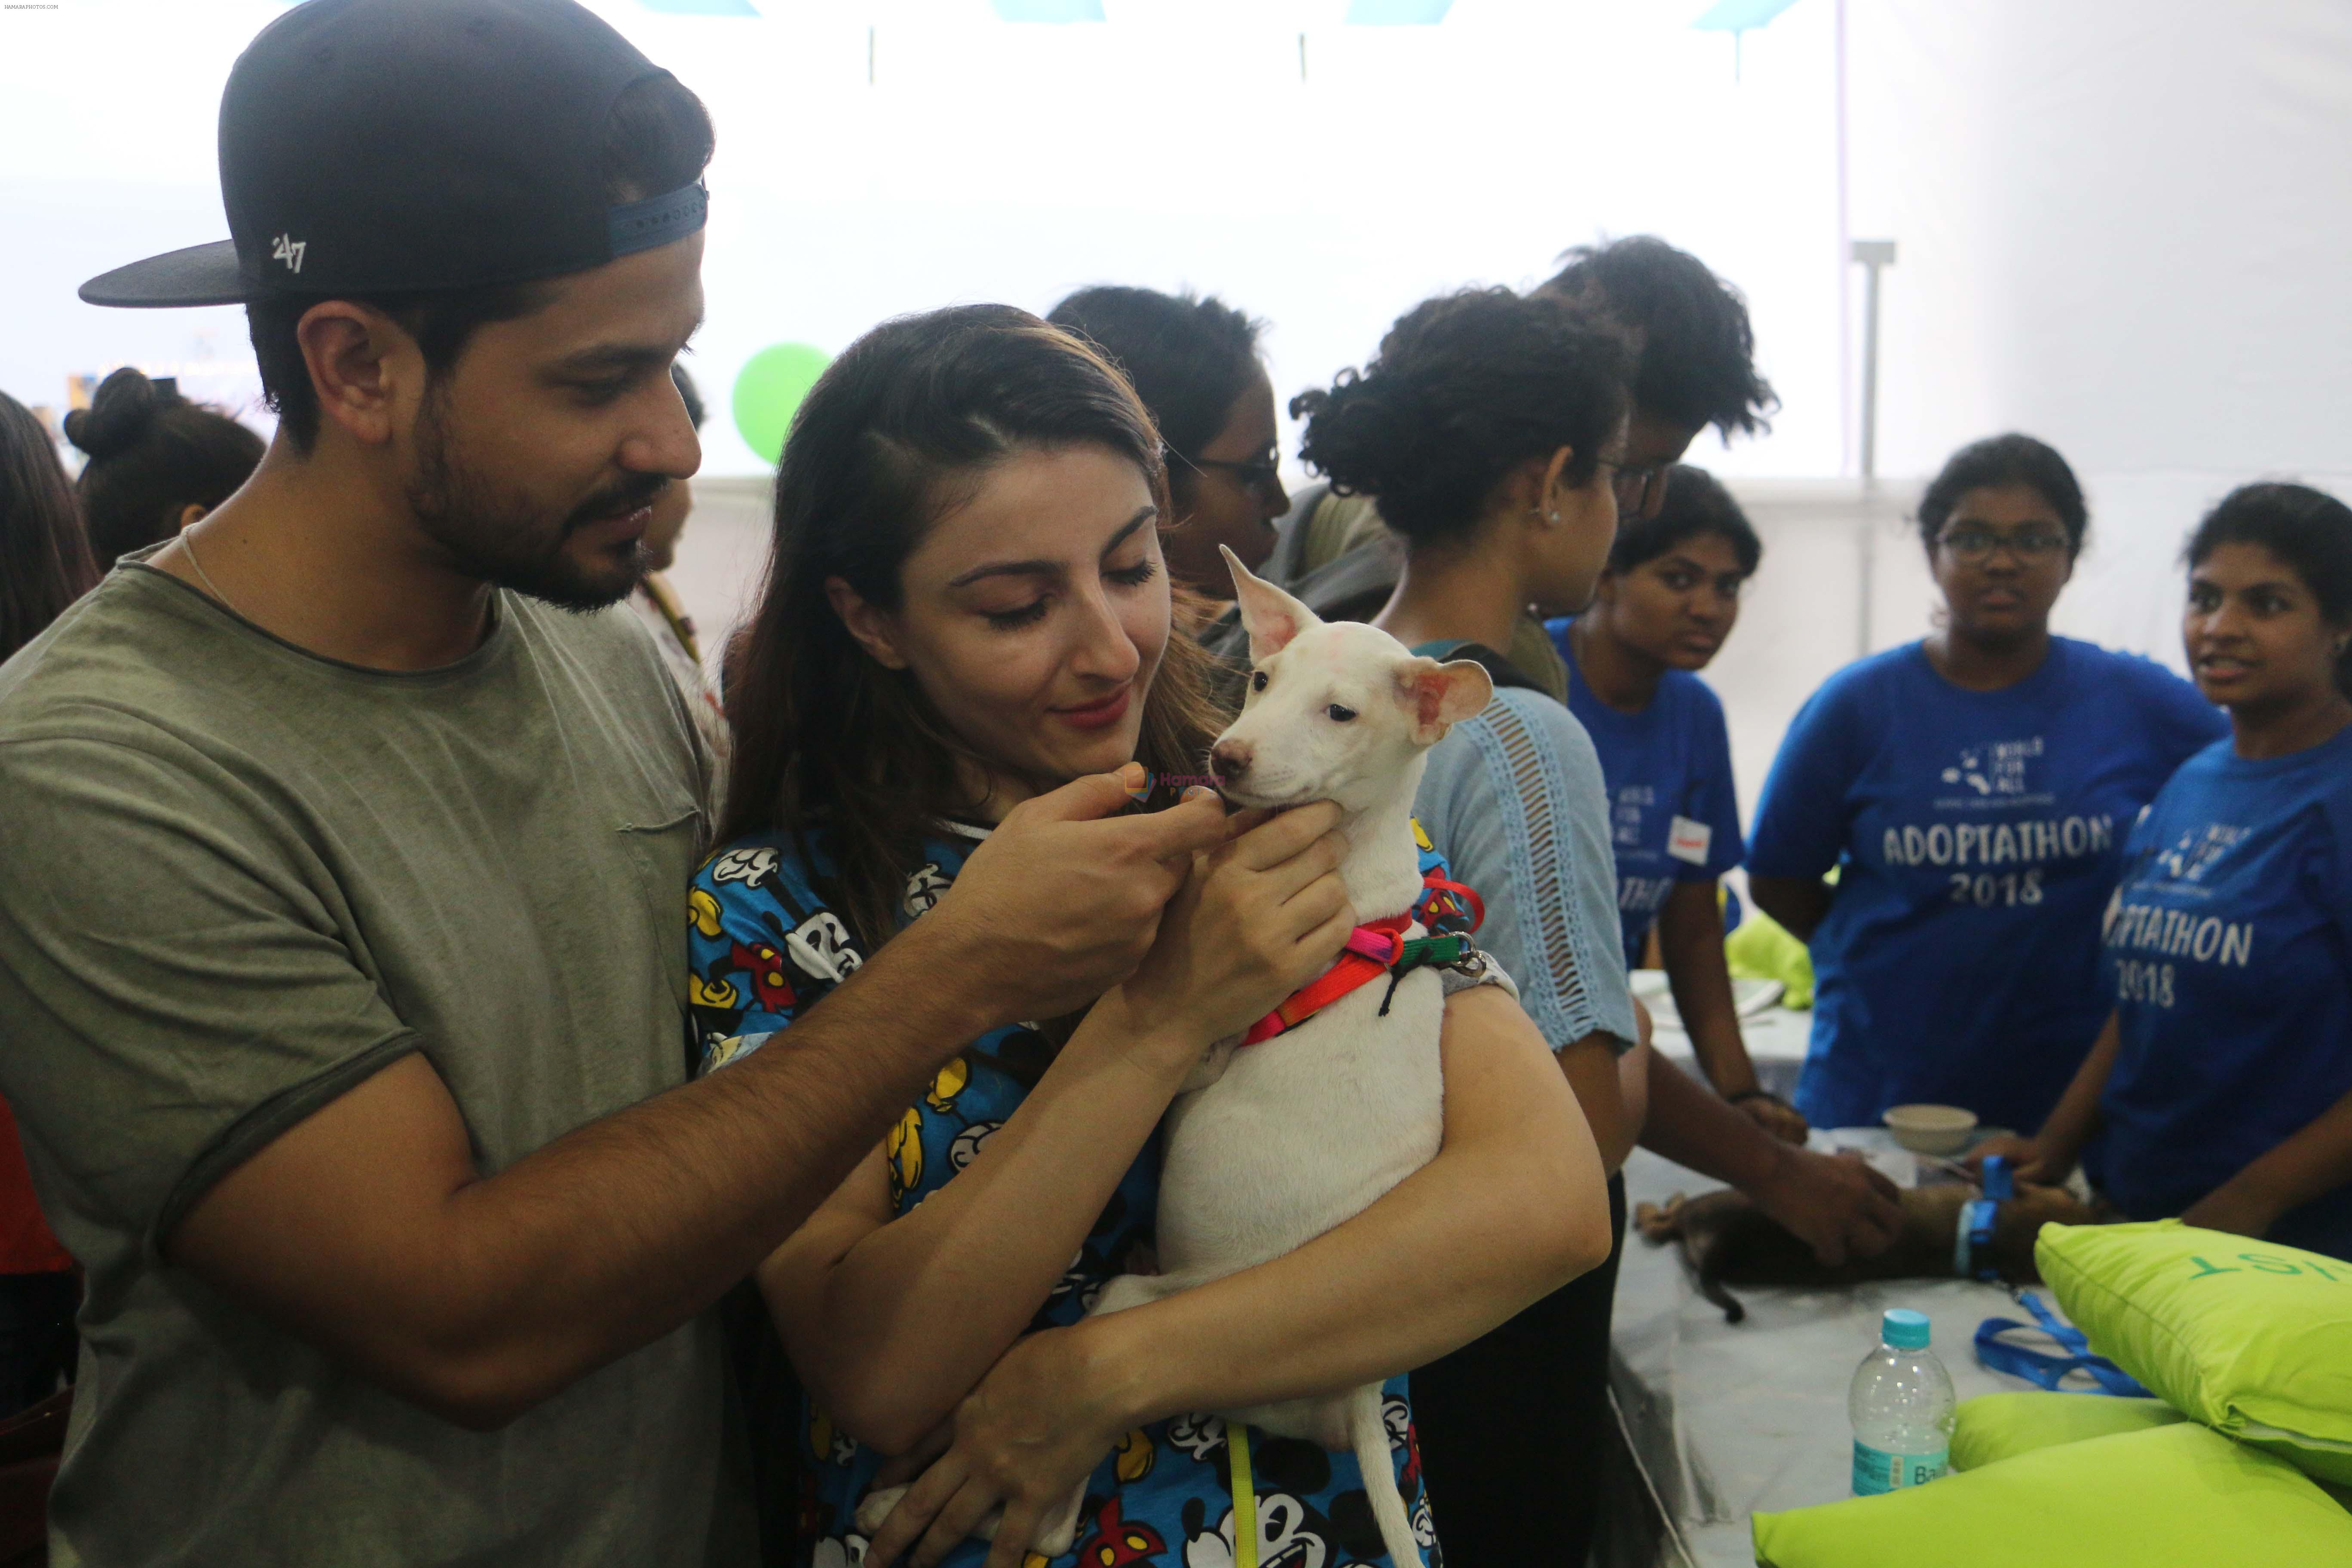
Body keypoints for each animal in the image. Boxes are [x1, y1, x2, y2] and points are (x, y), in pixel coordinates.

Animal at [1637, 1185, 2098, 1316]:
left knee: (1667, 1221)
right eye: (2069, 1196)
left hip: (1710, 1204)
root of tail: (1720, 1248)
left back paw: (1652, 1210)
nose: (2103, 1203)